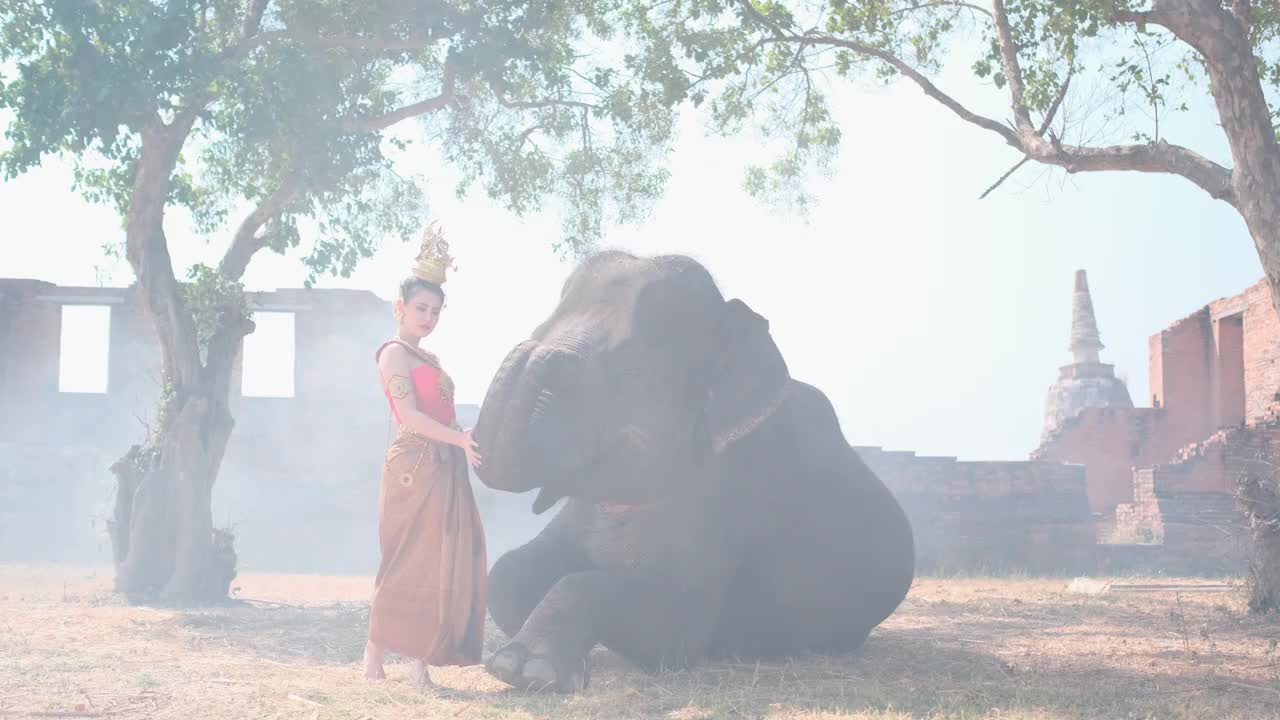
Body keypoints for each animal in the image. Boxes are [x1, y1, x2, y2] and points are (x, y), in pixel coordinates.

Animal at [471, 248, 911, 691]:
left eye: (634, 373)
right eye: (542, 328)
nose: (536, 348)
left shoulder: (729, 494)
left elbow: (674, 629)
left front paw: (525, 670)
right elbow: (508, 573)